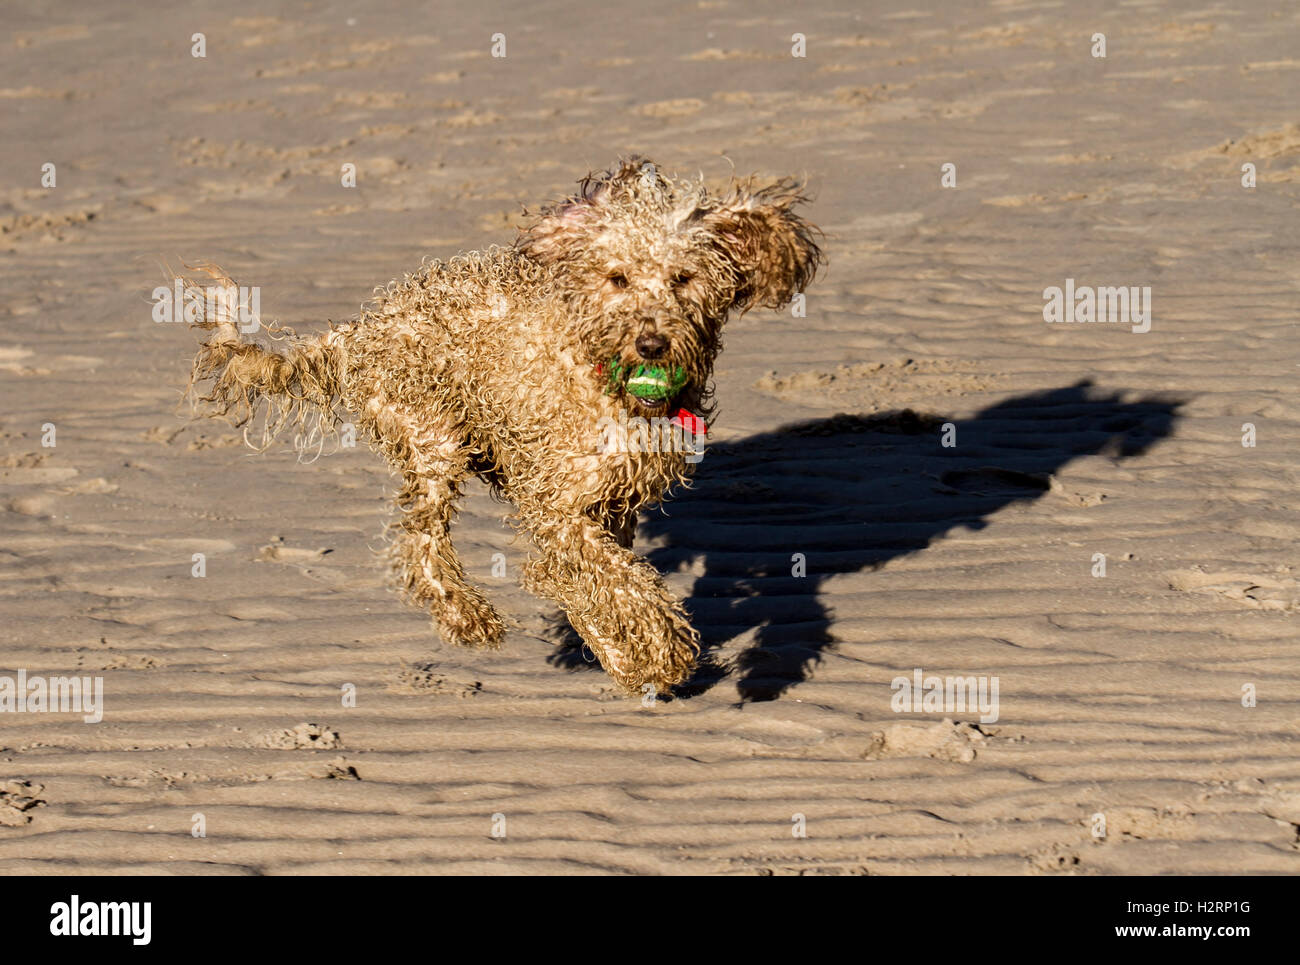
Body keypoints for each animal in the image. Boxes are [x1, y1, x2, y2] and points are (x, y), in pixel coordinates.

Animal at [182, 158, 816, 697]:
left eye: (683, 278)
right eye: (618, 279)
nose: (652, 343)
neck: (601, 373)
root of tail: (361, 329)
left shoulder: (611, 501)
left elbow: (600, 577)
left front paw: (628, 655)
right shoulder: (557, 503)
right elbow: (613, 581)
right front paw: (662, 649)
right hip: (433, 438)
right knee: (419, 542)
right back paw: (467, 616)